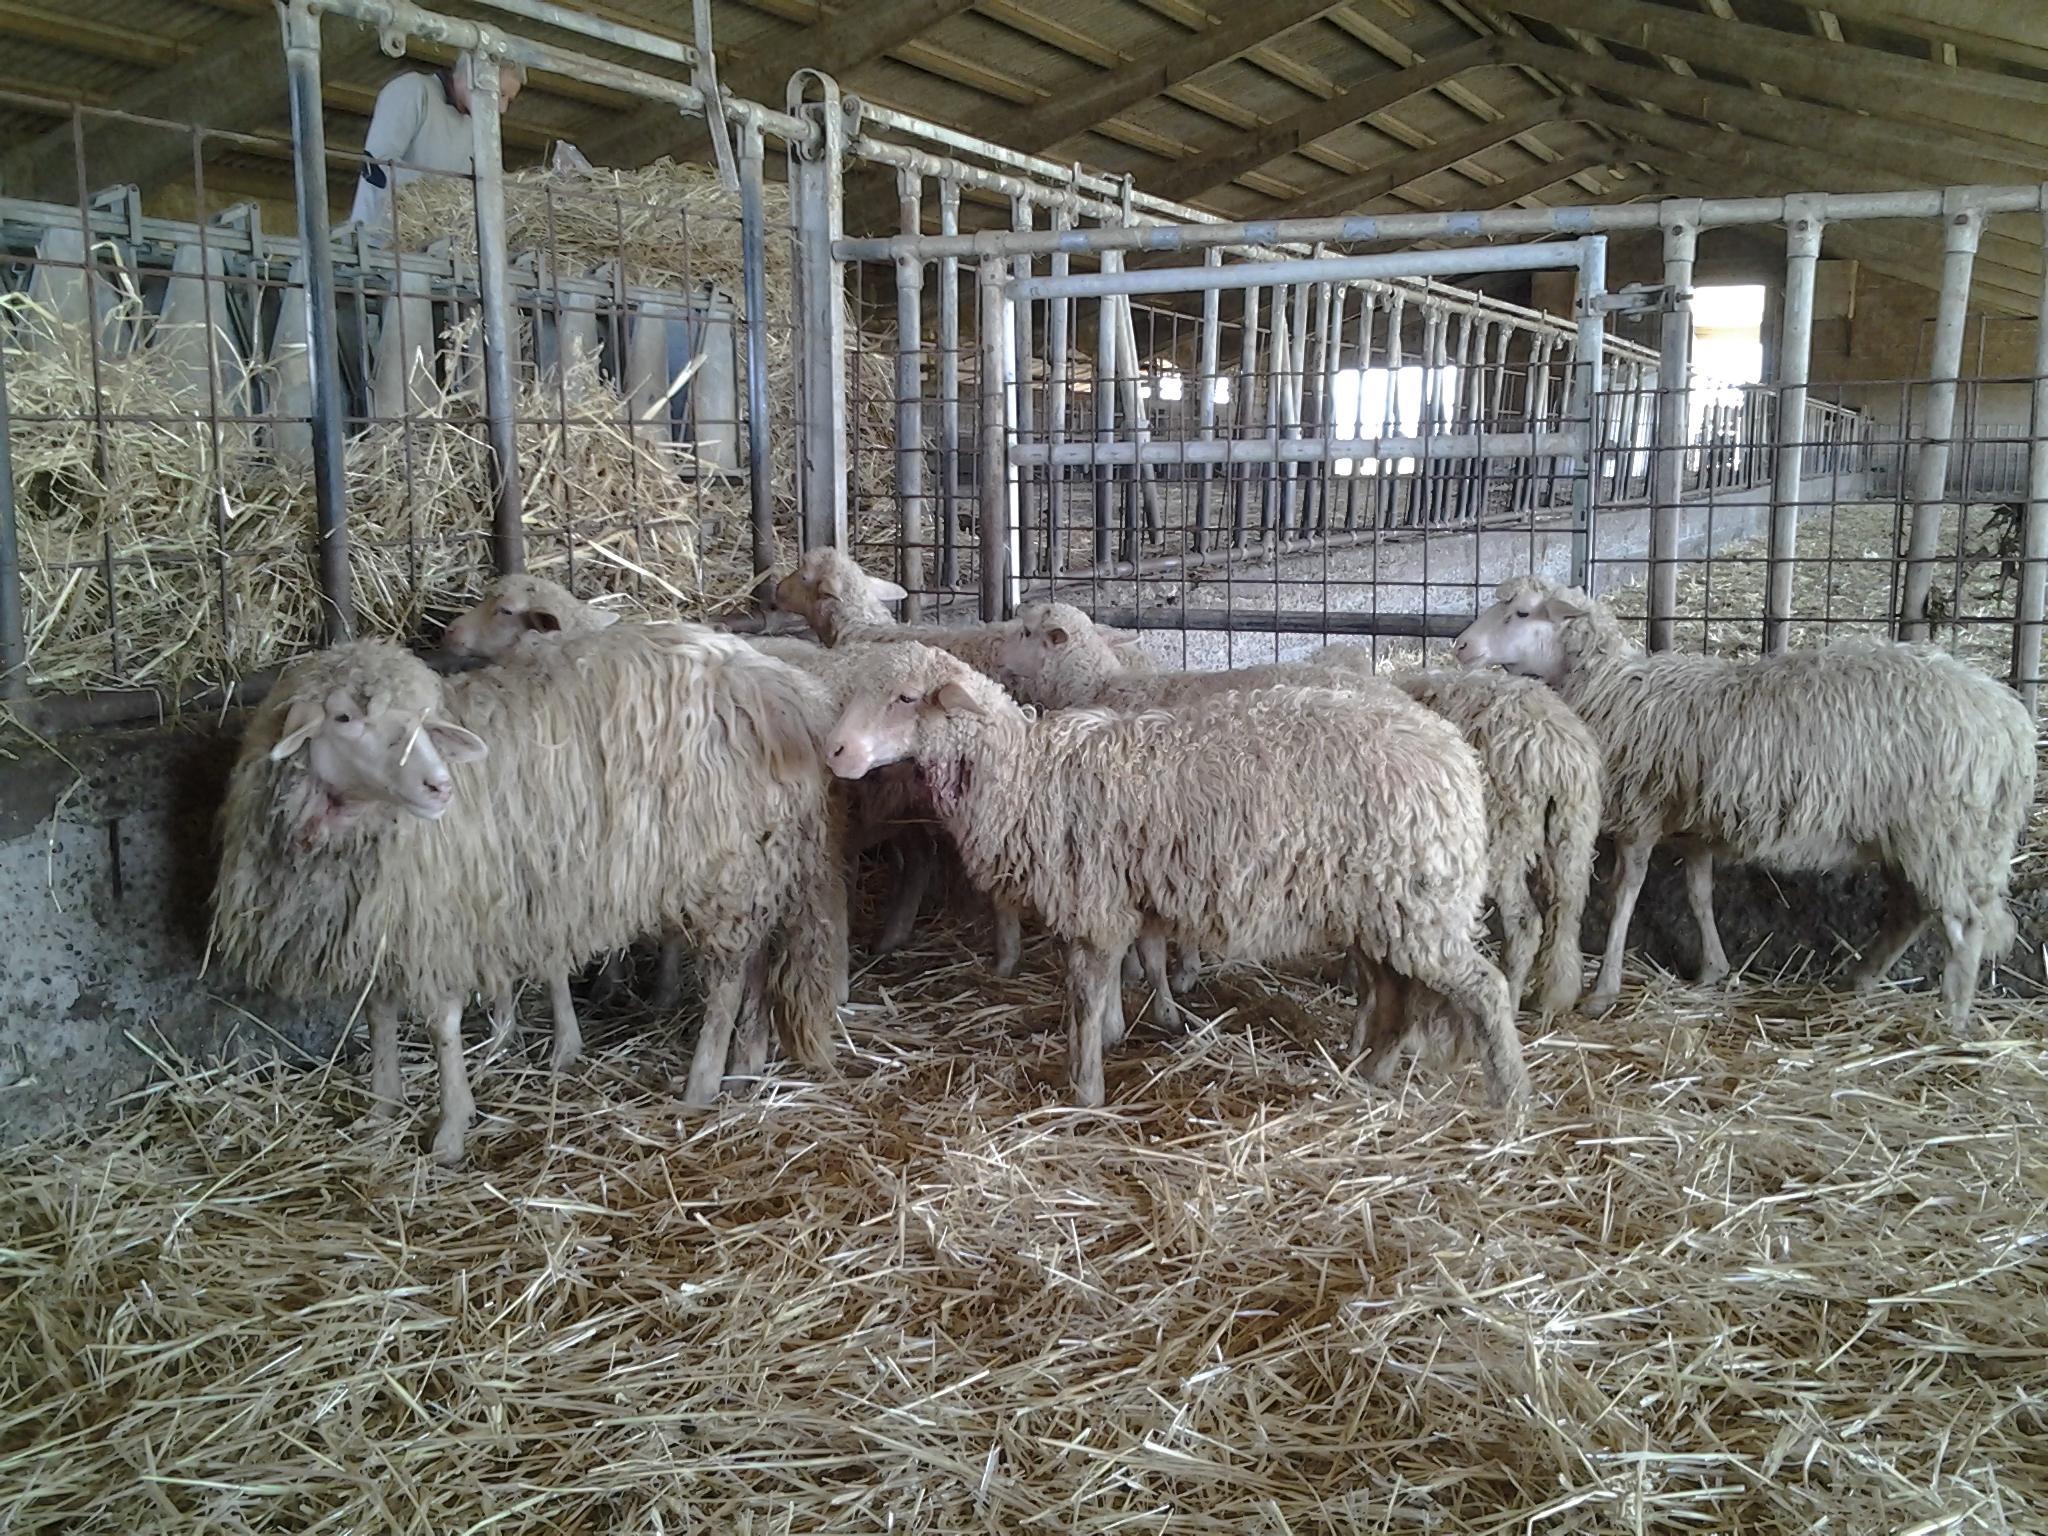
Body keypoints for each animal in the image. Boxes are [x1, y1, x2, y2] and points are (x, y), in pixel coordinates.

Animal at [213, 625, 845, 1164]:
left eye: (425, 720)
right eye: (343, 717)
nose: (439, 787)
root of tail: (782, 691)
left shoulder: (444, 916)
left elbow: (442, 1025)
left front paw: (450, 1128)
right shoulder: (384, 919)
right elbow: (379, 1013)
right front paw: (382, 1106)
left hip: (726, 868)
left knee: (727, 980)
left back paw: (702, 1082)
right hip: (758, 862)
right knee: (756, 961)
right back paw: (745, 1065)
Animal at [822, 643, 1529, 1109]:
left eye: (905, 699)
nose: (835, 752)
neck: (1028, 775)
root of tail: (1454, 756)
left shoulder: (1093, 902)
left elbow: (1084, 997)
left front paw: (1084, 1089)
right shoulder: (1114, 901)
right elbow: (1117, 978)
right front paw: (1115, 1038)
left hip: (1418, 902)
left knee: (1483, 989)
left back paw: (1510, 1101)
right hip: (1382, 908)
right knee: (1397, 993)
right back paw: (1371, 1073)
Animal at [1308, 646, 1604, 1018]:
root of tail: (1559, 753)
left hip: (1505, 837)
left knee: (1525, 922)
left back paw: (1513, 997)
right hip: (1572, 834)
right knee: (1566, 910)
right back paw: (1553, 996)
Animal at [1453, 576, 2037, 1023]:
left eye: (1521, 612)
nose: (1460, 646)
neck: (1613, 688)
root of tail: (2012, 725)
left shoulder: (1642, 813)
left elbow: (1625, 896)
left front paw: (1604, 990)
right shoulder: (1695, 824)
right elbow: (1699, 893)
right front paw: (1713, 969)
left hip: (1943, 831)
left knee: (1964, 927)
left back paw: (1951, 1019)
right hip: (1914, 836)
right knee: (1911, 912)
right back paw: (1860, 980)